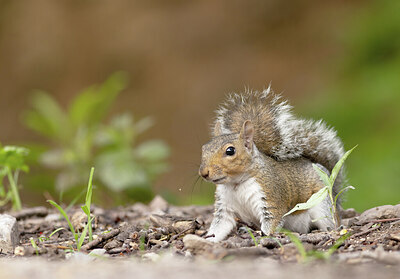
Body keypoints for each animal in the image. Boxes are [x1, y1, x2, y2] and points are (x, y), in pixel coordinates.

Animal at [198, 88, 346, 243]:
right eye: (204, 148)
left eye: (230, 151)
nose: (203, 173)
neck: (236, 184)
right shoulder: (224, 206)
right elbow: (220, 226)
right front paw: (208, 239)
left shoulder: (271, 195)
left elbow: (272, 221)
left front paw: (263, 236)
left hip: (322, 203)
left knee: (330, 220)